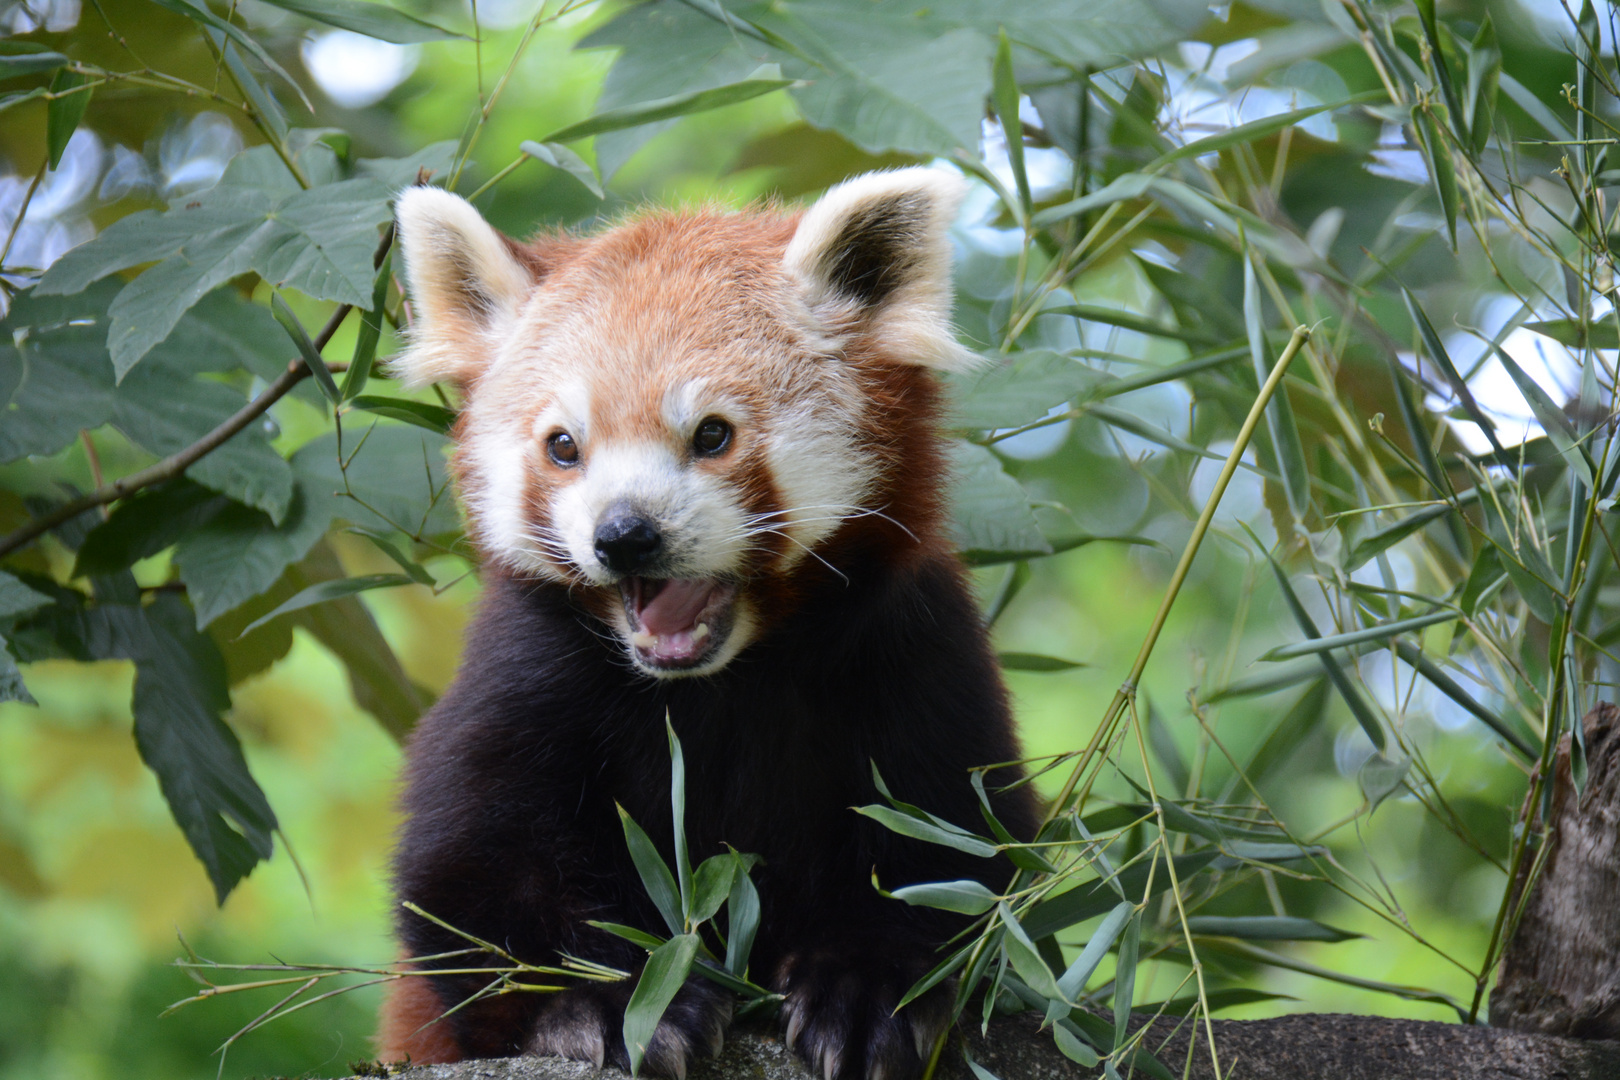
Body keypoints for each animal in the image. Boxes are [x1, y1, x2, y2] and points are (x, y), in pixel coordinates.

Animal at [379, 169, 1036, 1080]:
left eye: (713, 434)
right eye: (563, 446)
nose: (624, 534)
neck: (720, 676)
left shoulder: (912, 645)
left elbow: (956, 848)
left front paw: (869, 988)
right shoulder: (529, 666)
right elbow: (471, 869)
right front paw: (618, 1000)